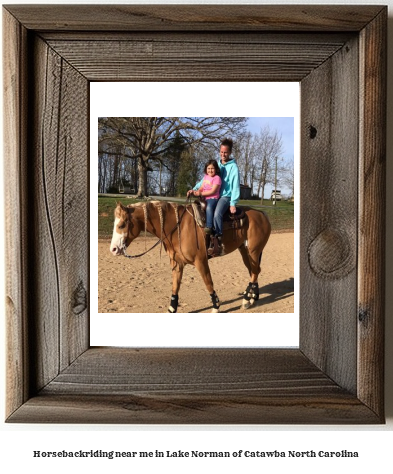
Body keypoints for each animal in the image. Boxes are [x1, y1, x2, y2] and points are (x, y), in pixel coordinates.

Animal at [108, 201, 272, 314]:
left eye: (121, 225)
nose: (113, 249)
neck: (177, 228)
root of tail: (262, 214)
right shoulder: (177, 263)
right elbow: (175, 286)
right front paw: (172, 308)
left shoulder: (201, 261)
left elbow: (208, 283)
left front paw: (216, 307)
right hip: (245, 251)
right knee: (254, 271)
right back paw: (253, 297)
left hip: (253, 251)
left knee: (255, 271)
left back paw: (246, 300)